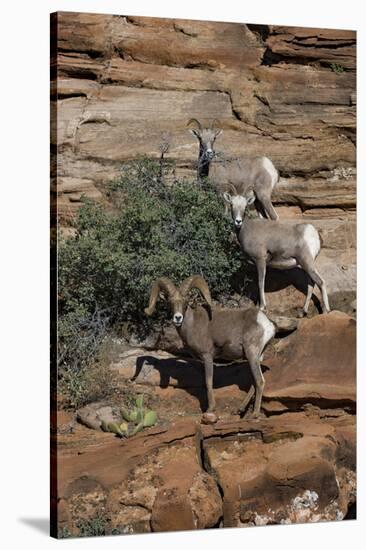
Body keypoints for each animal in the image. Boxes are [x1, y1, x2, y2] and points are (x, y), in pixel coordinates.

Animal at [143, 276, 274, 418]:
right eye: (170, 302)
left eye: (185, 301)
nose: (178, 318)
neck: (193, 324)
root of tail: (267, 325)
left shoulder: (208, 357)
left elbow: (208, 381)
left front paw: (210, 409)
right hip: (255, 358)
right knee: (254, 383)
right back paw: (238, 410)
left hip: (252, 354)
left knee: (259, 382)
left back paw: (254, 414)